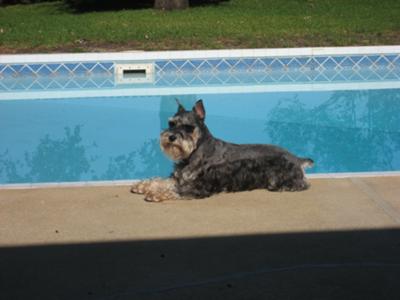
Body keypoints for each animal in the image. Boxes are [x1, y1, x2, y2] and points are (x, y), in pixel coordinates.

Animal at [131, 99, 312, 203]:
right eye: (171, 123)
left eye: (189, 127)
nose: (171, 137)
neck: (194, 152)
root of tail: (297, 158)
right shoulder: (179, 177)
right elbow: (162, 180)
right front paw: (143, 185)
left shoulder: (198, 187)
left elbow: (176, 190)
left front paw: (155, 193)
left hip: (281, 178)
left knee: (302, 184)